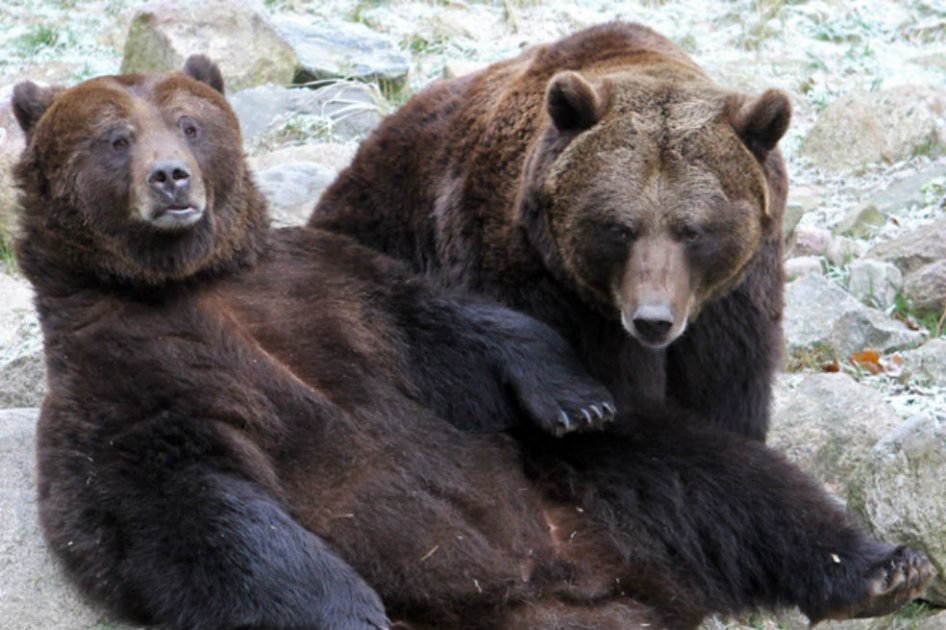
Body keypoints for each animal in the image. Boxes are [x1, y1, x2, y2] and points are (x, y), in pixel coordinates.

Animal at [311, 21, 789, 440]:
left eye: (692, 231)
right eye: (621, 228)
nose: (652, 320)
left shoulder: (735, 303)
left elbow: (727, 393)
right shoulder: (530, 274)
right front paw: (586, 408)